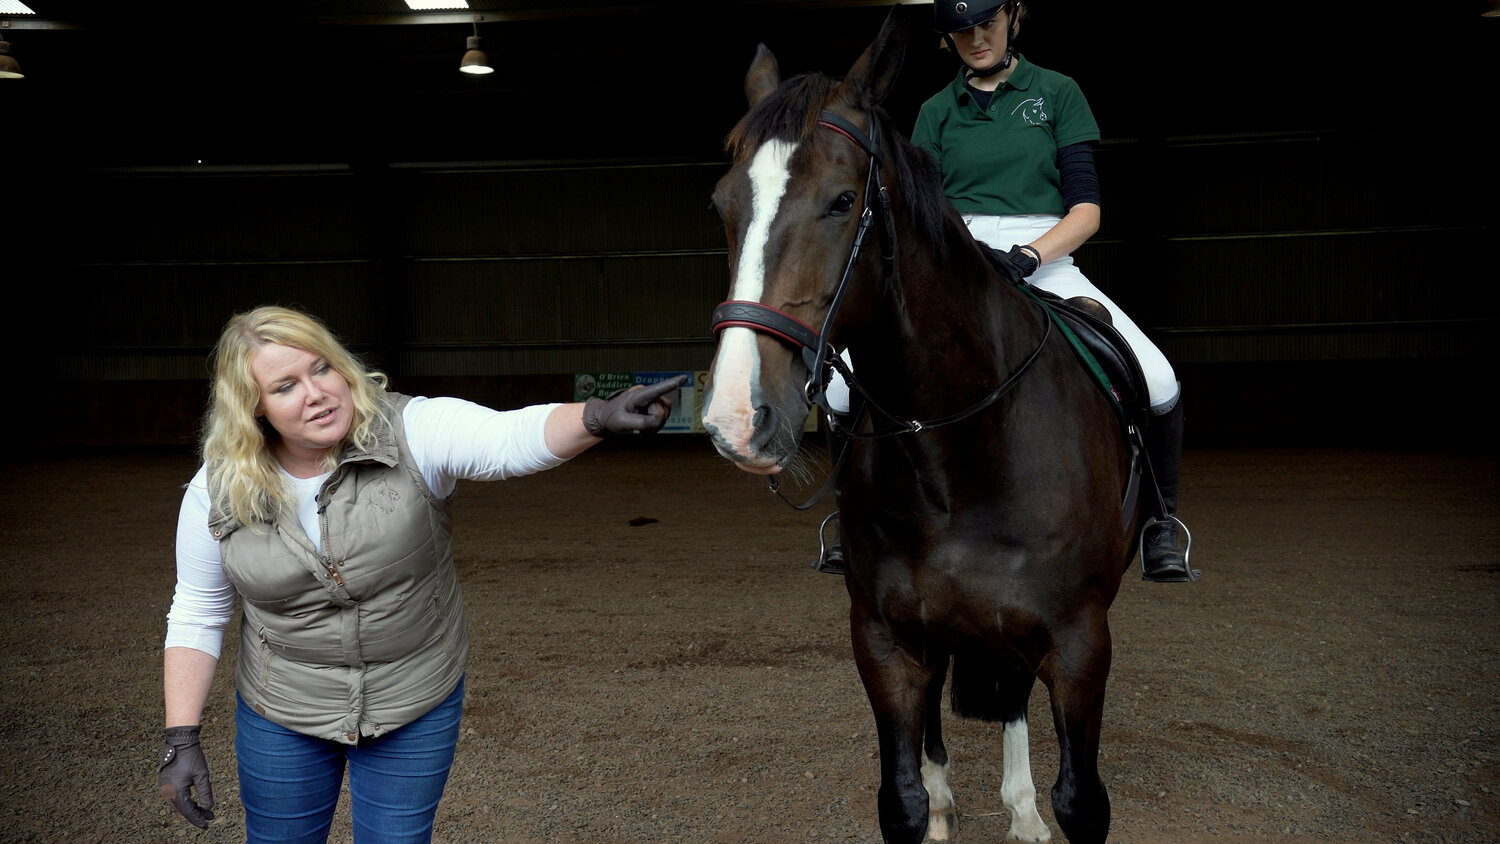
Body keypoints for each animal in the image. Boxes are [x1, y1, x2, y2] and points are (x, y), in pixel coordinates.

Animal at [696, 11, 1140, 844]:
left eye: (843, 201)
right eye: (722, 203)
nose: (738, 417)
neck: (959, 451)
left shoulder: (1077, 640)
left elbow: (1081, 800)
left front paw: (1032, 810)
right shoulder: (883, 637)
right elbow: (898, 797)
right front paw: (930, 805)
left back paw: (1020, 809)